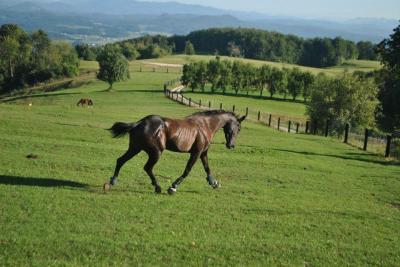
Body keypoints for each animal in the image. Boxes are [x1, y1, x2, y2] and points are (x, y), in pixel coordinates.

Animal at [104, 110, 245, 196]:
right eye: (238, 127)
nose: (231, 145)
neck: (205, 125)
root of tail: (139, 123)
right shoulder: (196, 152)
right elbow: (187, 170)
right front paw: (173, 187)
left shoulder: (203, 152)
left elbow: (207, 168)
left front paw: (214, 183)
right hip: (156, 152)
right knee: (147, 167)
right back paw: (157, 187)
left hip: (135, 149)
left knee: (120, 160)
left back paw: (112, 182)